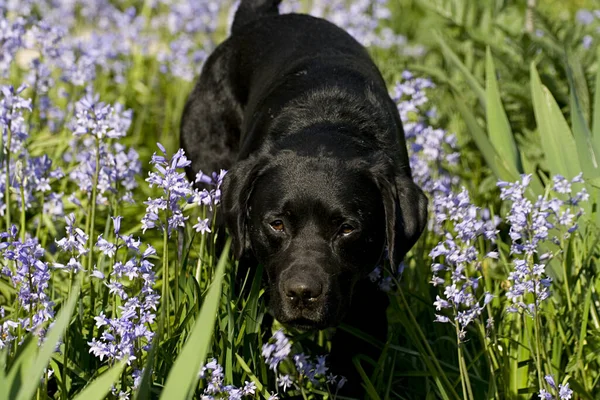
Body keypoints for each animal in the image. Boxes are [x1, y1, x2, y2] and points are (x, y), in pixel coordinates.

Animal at [180, 0, 428, 394]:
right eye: (277, 224)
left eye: (347, 228)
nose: (301, 292)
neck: (329, 123)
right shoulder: (248, 276)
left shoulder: (371, 303)